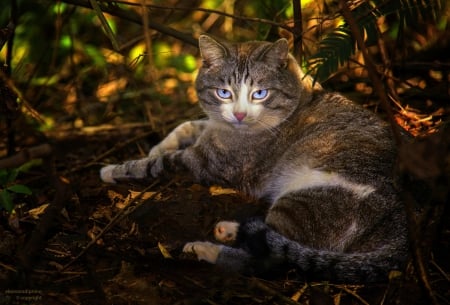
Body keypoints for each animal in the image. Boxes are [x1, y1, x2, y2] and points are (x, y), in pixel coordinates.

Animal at [101, 34, 408, 282]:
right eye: (223, 93)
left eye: (259, 93)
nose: (239, 114)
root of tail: (402, 228)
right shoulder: (212, 129)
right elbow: (187, 125)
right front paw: (157, 146)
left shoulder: (205, 162)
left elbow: (154, 165)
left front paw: (113, 169)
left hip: (306, 199)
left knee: (270, 259)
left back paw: (210, 247)